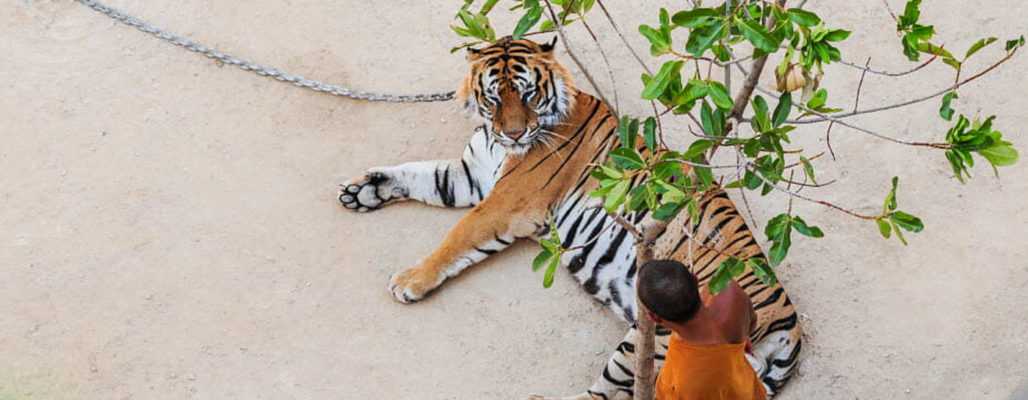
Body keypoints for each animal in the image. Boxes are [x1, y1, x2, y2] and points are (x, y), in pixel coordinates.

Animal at [337, 35, 801, 396]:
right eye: (494, 96)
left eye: (526, 94)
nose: (514, 133)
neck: (494, 140)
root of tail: (790, 330)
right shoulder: (471, 175)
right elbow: (418, 173)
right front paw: (363, 190)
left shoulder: (507, 202)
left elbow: (457, 237)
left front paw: (409, 281)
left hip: (659, 335)